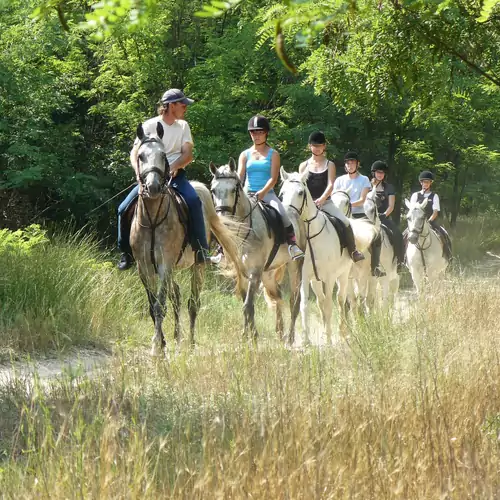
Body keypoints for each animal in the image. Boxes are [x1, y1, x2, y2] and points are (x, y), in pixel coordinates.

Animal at [131, 122, 244, 354]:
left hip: (197, 265)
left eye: (163, 155)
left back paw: (190, 343)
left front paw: (156, 347)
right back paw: (177, 338)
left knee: (193, 303)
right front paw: (162, 343)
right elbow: (153, 304)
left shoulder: (165, 264)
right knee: (177, 296)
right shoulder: (143, 267)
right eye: (141, 156)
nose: (153, 187)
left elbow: (160, 305)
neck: (153, 217)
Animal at [209, 159, 302, 344]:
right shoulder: (243, 273)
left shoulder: (254, 273)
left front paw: (252, 338)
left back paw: (290, 339)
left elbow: (247, 306)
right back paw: (280, 333)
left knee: (294, 301)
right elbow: (246, 304)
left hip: (295, 267)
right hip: (268, 274)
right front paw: (247, 335)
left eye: (234, 189)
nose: (223, 220)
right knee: (277, 297)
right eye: (213, 190)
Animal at [280, 170, 374, 342]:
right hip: (316, 281)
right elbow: (304, 305)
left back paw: (342, 332)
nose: (288, 215)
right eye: (282, 193)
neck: (311, 235)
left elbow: (330, 305)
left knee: (341, 299)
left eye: (300, 192)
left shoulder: (329, 277)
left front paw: (329, 339)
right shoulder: (304, 276)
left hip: (343, 275)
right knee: (321, 301)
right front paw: (306, 340)